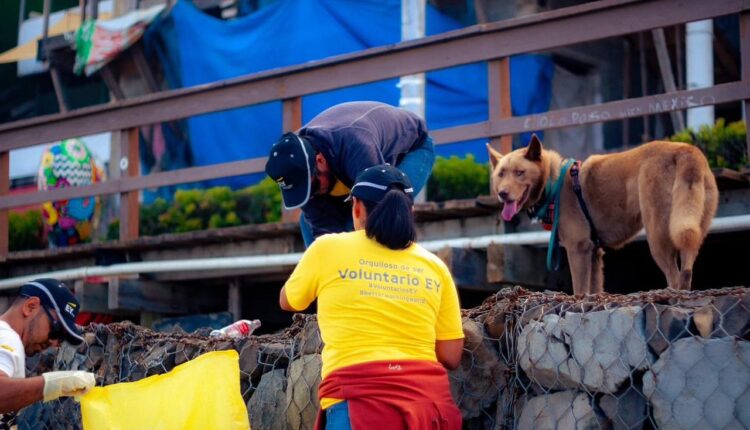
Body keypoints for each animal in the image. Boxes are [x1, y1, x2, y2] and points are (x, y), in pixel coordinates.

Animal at [490, 136, 720, 294]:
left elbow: (580, 290)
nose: (502, 194)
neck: (553, 183)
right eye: (500, 174)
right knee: (687, 269)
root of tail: (686, 150)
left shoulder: (578, 248)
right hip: (690, 229)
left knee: (674, 274)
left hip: (658, 237)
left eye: (520, 172)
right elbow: (594, 290)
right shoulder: (594, 253)